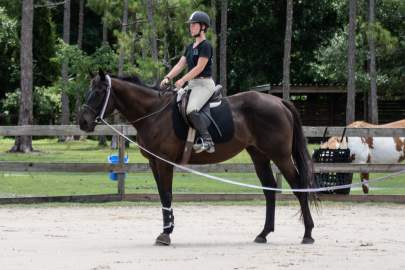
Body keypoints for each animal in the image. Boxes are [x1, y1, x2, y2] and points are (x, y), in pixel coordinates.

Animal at [77, 70, 314, 246]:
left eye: (99, 92)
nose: (83, 122)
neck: (154, 113)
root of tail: (279, 102)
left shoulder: (164, 162)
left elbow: (167, 194)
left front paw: (166, 234)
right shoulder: (154, 162)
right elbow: (163, 195)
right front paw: (167, 229)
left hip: (281, 156)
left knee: (298, 186)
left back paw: (308, 234)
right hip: (259, 156)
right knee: (269, 190)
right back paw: (263, 234)